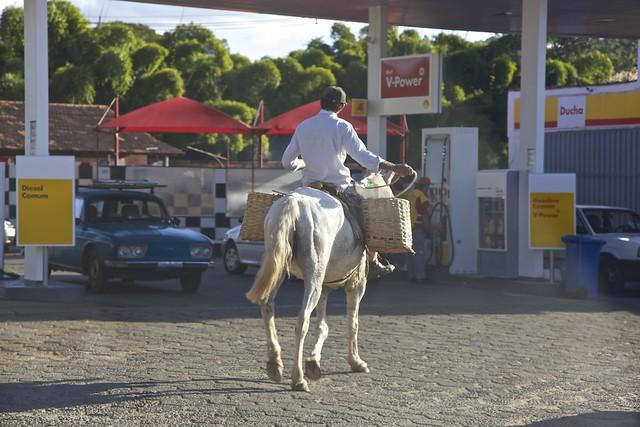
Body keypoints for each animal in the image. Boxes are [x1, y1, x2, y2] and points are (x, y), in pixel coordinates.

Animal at [248, 188, 372, 394]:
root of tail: (292, 202)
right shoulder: (357, 284)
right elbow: (353, 323)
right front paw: (356, 362)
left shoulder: (325, 287)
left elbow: (322, 326)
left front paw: (314, 362)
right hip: (313, 276)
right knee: (302, 321)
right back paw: (298, 379)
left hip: (279, 265)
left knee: (267, 304)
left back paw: (275, 365)